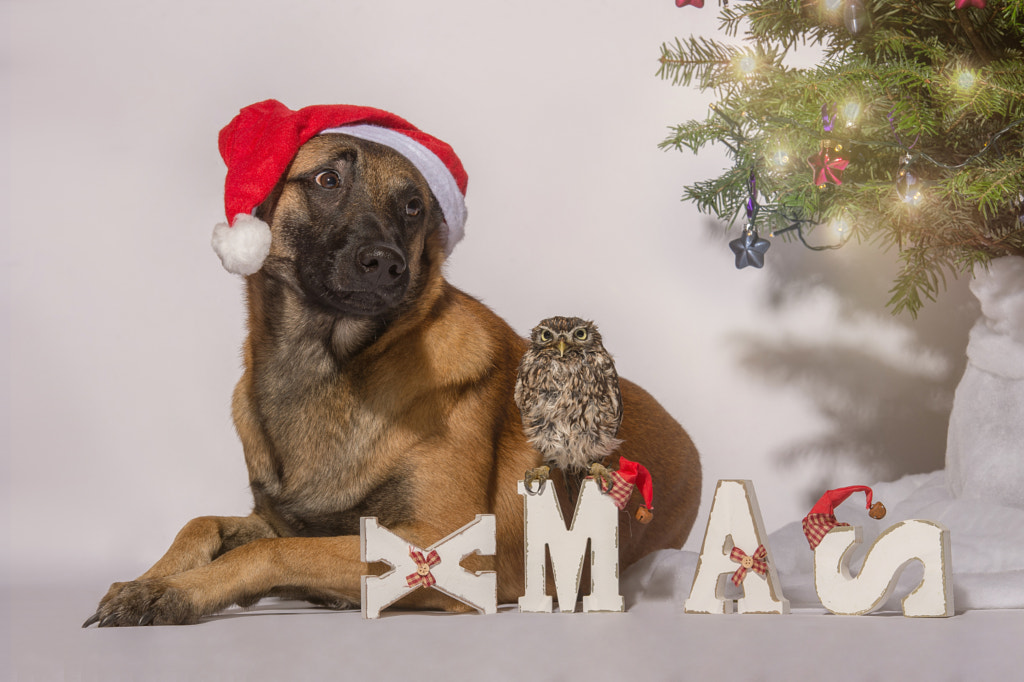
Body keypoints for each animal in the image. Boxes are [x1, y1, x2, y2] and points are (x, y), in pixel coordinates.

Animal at [83, 124, 704, 622]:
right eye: (327, 179)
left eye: (412, 207)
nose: (387, 263)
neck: (327, 365)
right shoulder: (290, 519)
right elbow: (204, 524)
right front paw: (148, 579)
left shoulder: (446, 547)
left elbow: (271, 551)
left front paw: (175, 593)